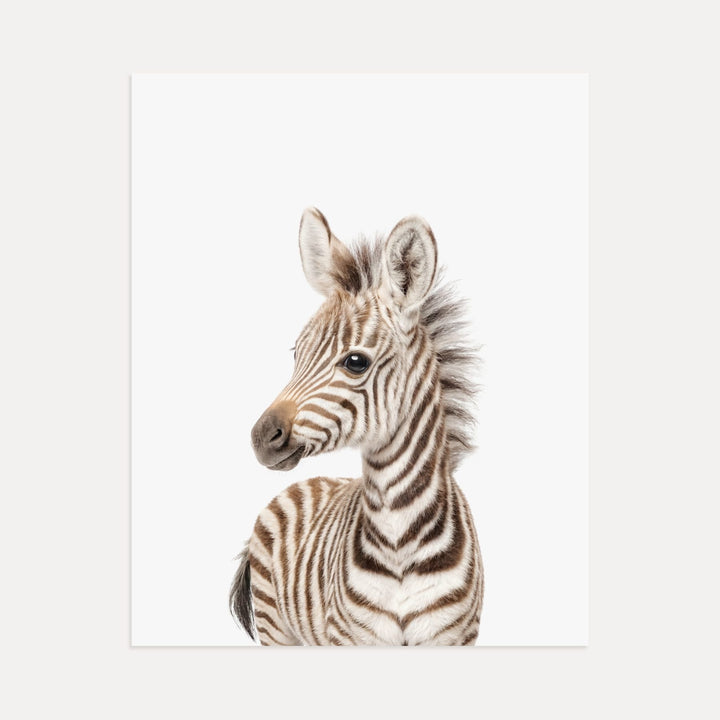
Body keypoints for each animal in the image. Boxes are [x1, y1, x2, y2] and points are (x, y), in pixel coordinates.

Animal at [230, 208, 483, 646]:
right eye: (297, 353)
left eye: (355, 362)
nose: (261, 437)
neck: (400, 539)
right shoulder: (352, 638)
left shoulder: (455, 637)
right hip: (275, 626)